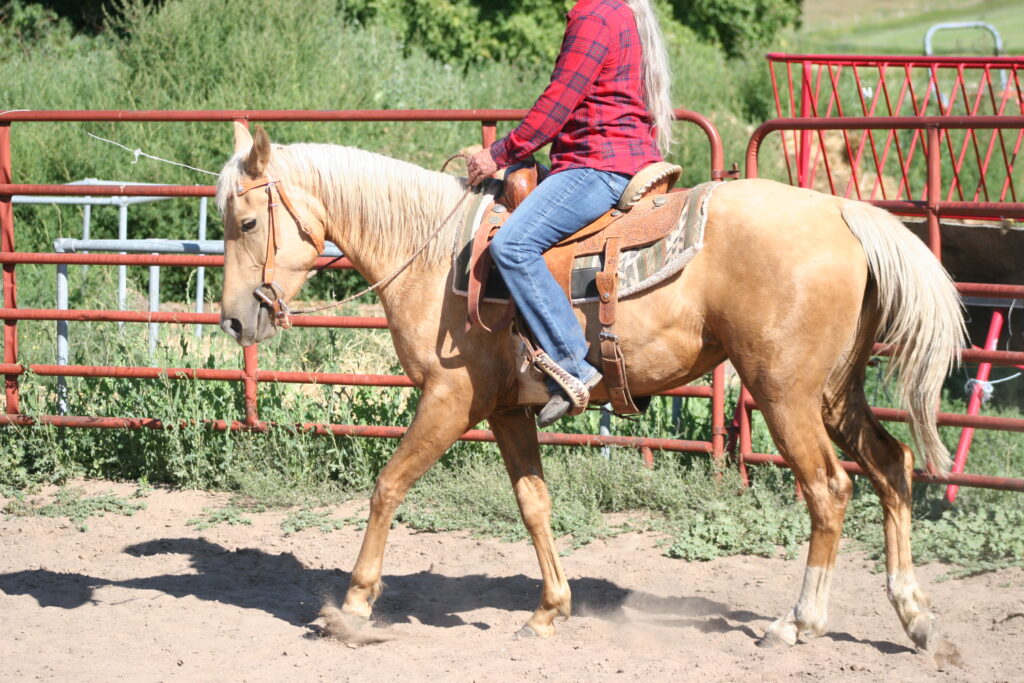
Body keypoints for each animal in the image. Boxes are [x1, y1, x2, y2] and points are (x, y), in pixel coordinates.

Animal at [216, 124, 965, 661]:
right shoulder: (509, 412)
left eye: (247, 222)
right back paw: (918, 618)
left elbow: (387, 485)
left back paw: (798, 623)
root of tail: (843, 213)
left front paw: (353, 606)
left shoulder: (449, 402)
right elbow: (534, 505)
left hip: (785, 393)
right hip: (835, 392)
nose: (234, 319)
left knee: (829, 490)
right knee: (892, 466)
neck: (434, 256)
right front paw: (550, 610)